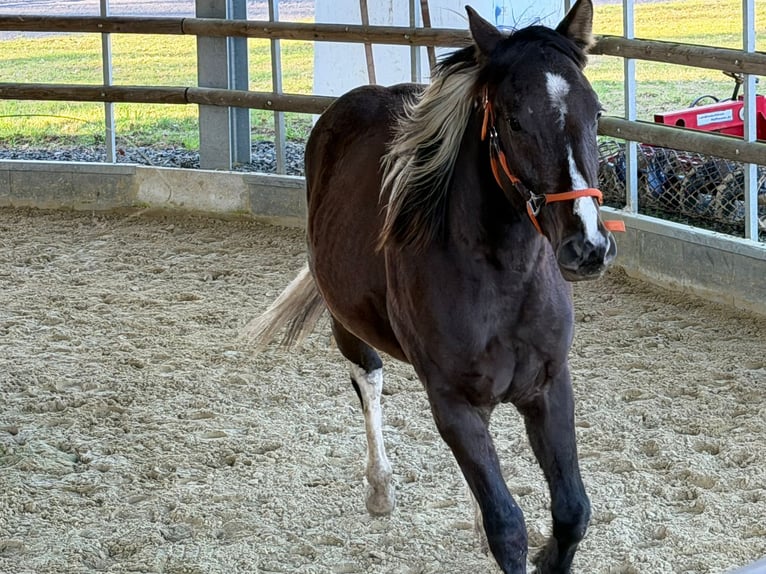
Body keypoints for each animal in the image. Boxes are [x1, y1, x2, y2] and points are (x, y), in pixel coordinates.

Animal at [245, 1, 623, 571]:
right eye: (514, 119)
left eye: (597, 112)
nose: (588, 247)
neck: (502, 281)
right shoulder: (451, 402)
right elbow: (507, 525)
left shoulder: (549, 388)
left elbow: (572, 511)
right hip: (347, 325)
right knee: (368, 381)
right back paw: (380, 490)